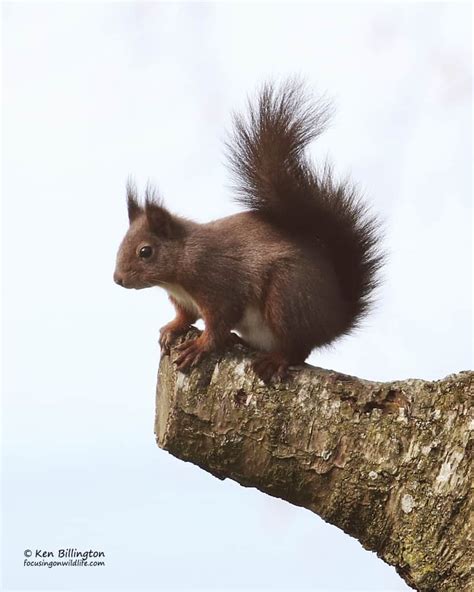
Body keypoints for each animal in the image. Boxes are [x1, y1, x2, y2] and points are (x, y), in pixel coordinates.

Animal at [115, 78, 386, 382]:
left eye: (145, 252)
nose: (118, 279)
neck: (178, 271)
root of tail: (335, 319)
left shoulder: (218, 285)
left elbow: (218, 323)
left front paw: (198, 347)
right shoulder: (184, 300)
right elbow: (186, 317)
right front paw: (172, 328)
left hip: (286, 297)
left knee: (297, 349)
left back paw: (276, 360)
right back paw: (239, 341)